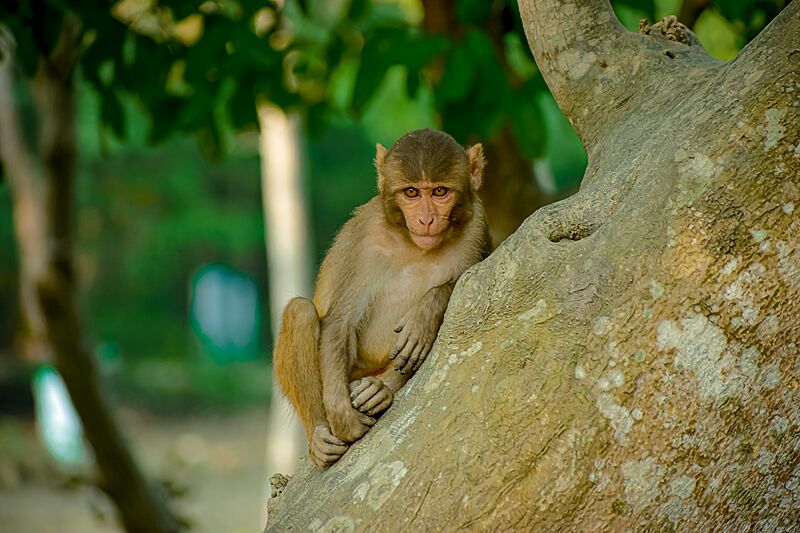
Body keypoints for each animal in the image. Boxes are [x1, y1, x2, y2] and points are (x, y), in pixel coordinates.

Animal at [273, 129, 490, 468]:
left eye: (440, 192)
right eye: (411, 193)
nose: (426, 220)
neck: (413, 244)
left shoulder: (476, 228)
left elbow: (467, 282)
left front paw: (423, 319)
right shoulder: (366, 236)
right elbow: (340, 319)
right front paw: (342, 416)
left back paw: (380, 388)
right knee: (301, 311)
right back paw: (319, 434)